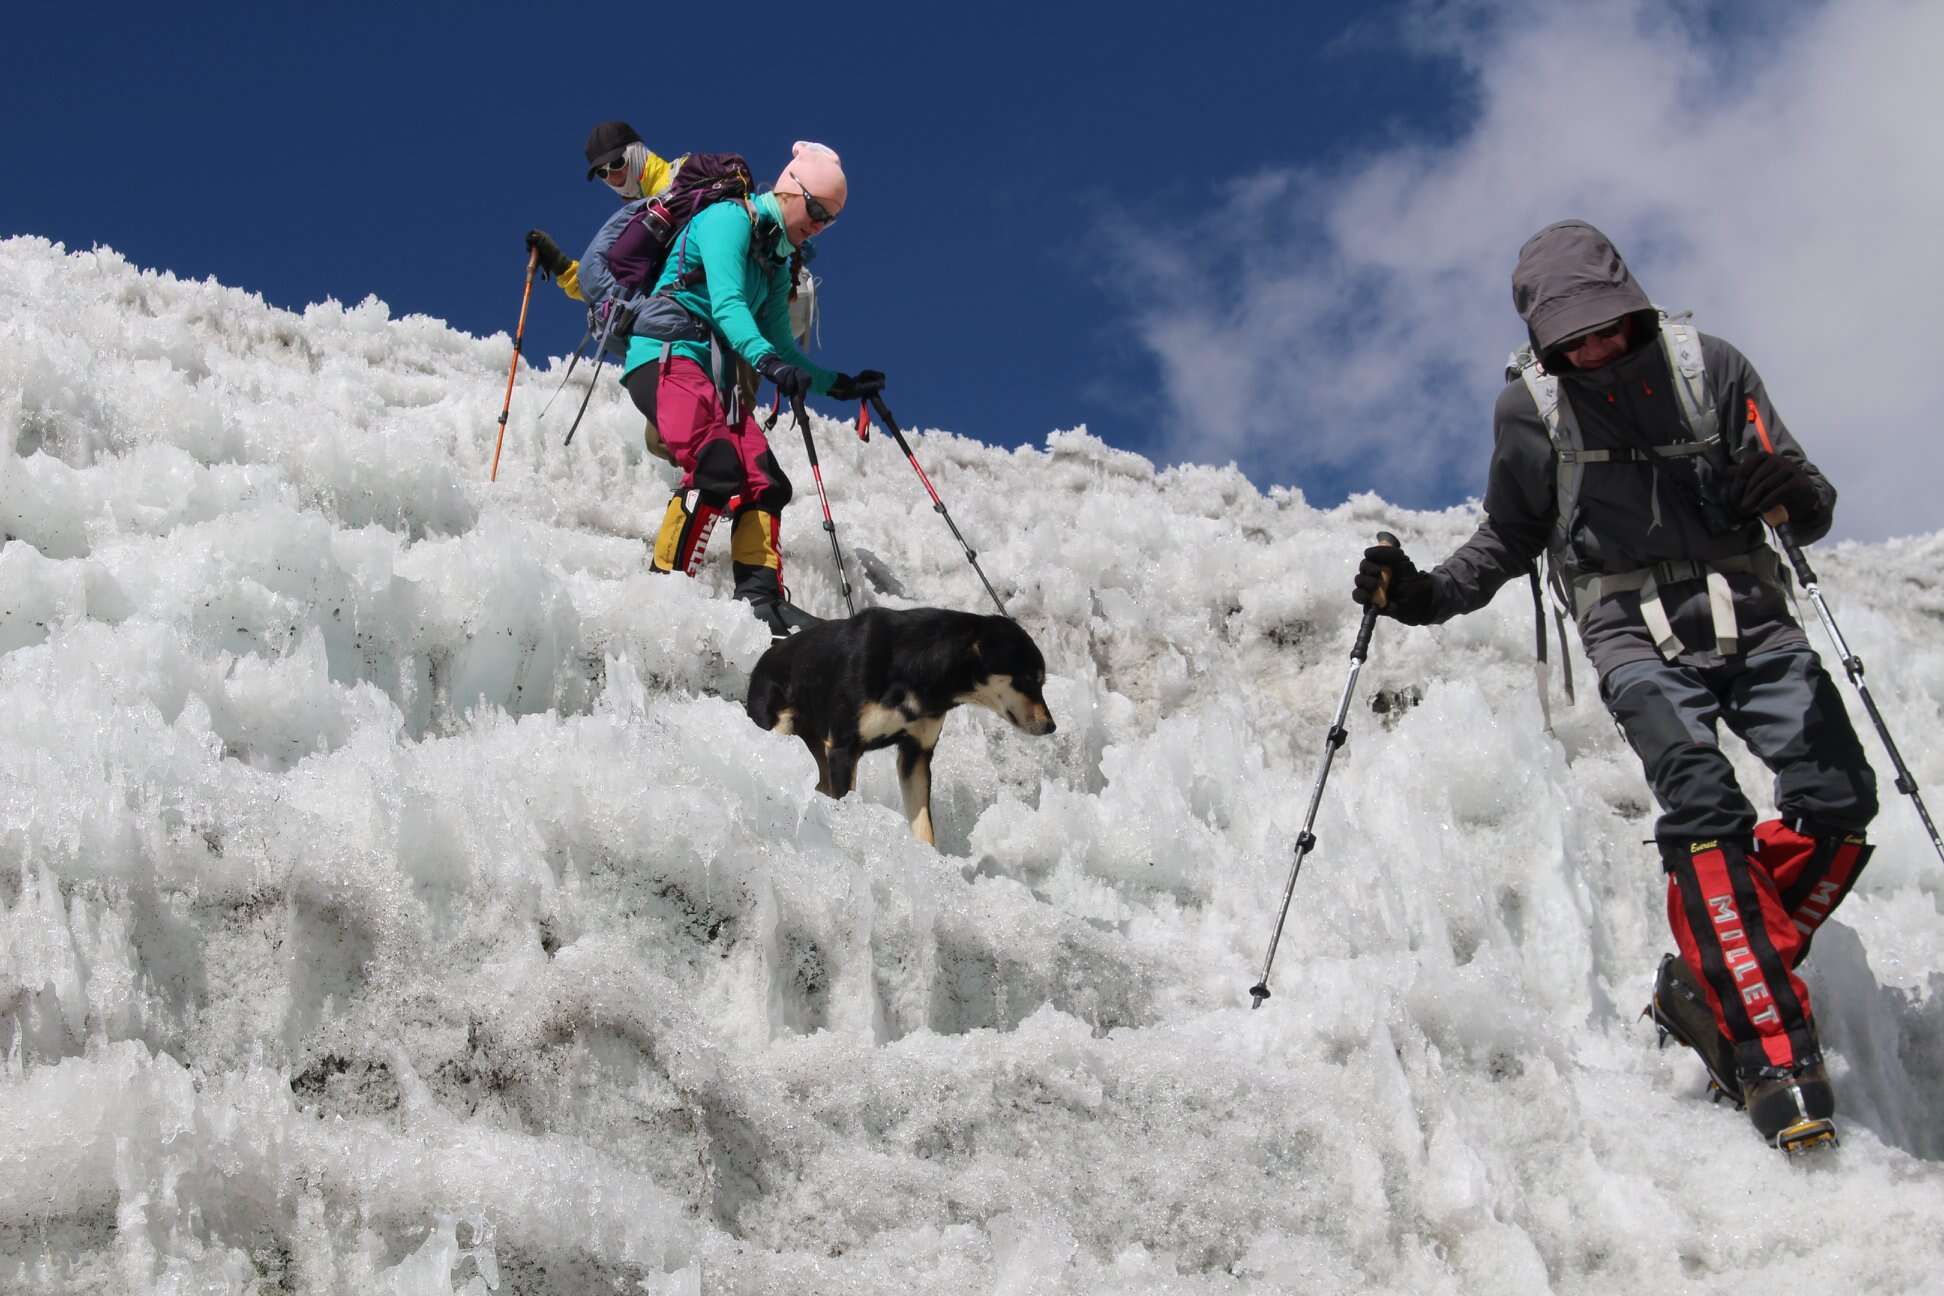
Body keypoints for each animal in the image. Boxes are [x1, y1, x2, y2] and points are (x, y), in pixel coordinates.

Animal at [742, 610, 1057, 847]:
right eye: (1029, 679)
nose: (1051, 726)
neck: (916, 668)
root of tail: (760, 663)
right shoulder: (844, 749)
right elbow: (846, 799)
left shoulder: (916, 753)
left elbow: (923, 824)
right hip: (781, 724)